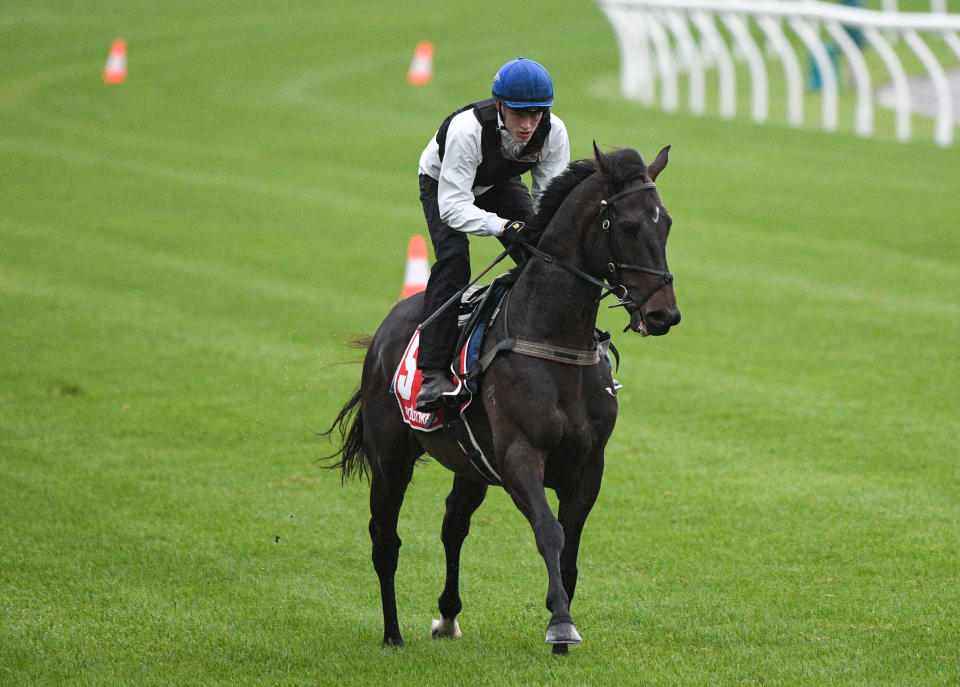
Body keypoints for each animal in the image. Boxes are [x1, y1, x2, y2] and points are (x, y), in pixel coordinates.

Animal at [326, 145, 680, 656]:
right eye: (629, 225)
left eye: (665, 222)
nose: (663, 314)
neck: (554, 338)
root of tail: (385, 330)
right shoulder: (519, 457)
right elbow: (550, 532)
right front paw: (560, 625)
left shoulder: (588, 467)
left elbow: (571, 549)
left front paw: (561, 633)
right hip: (391, 457)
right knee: (385, 539)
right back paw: (392, 633)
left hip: (470, 464)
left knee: (453, 524)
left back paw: (447, 617)